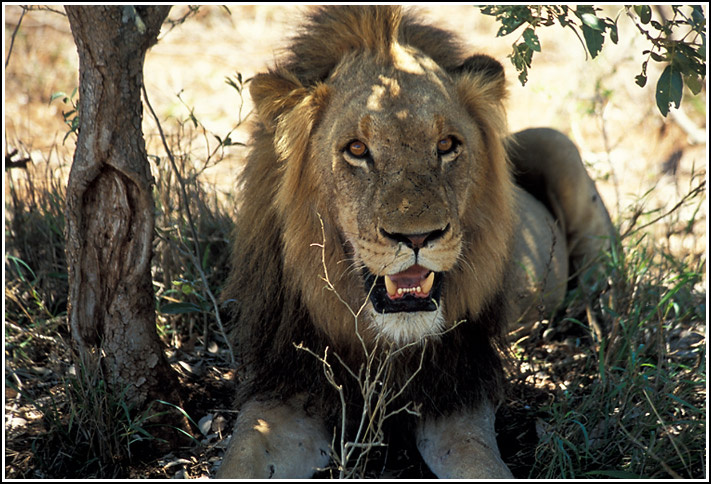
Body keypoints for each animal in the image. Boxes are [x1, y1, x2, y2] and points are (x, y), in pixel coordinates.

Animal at [217, 5, 614, 479]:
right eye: (356, 149)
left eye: (446, 145)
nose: (418, 236)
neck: (383, 344)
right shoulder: (284, 388)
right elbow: (242, 453)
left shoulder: (458, 393)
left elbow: (479, 462)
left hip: (559, 147)